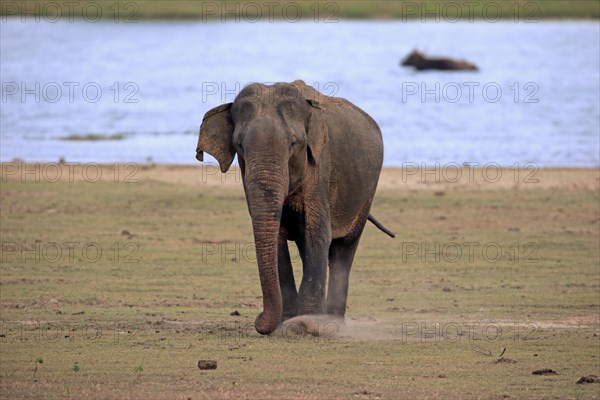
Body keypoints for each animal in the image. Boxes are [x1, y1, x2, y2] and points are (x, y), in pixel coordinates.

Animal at [196, 80, 394, 334]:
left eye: (293, 144)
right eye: (239, 145)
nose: (258, 318)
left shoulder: (320, 168)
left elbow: (318, 233)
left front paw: (307, 324)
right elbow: (277, 237)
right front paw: (286, 322)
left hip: (366, 192)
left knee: (344, 248)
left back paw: (333, 321)